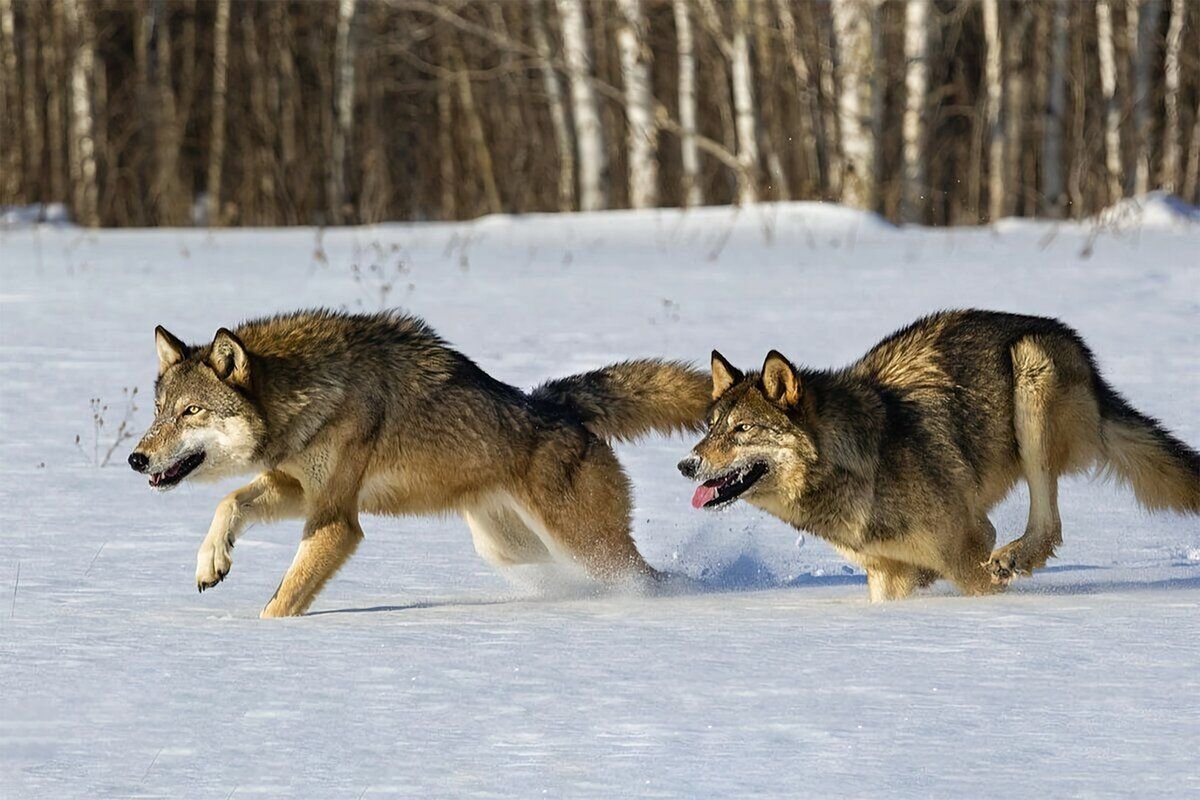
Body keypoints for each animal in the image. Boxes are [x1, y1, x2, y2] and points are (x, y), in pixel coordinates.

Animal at [129, 309, 710, 618]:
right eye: (158, 413)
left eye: (191, 412)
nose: (136, 459)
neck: (309, 395)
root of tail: (557, 404)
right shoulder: (299, 489)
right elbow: (229, 502)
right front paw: (212, 562)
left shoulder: (336, 520)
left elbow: (283, 598)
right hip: (510, 548)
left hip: (584, 545)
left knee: (645, 576)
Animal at [681, 311, 1195, 599]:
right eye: (711, 428)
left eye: (742, 429)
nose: (686, 465)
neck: (858, 466)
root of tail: (1078, 348)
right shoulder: (888, 577)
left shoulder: (968, 546)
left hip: (1030, 375)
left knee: (1049, 525)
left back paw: (1015, 558)